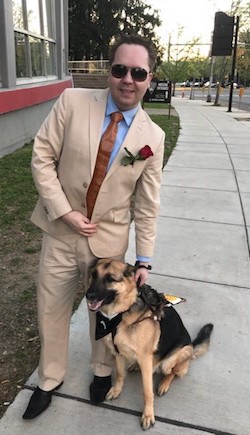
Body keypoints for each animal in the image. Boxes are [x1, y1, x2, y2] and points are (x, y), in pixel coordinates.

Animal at [86, 260, 213, 430]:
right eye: (94, 275)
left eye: (110, 279)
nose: (88, 295)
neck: (120, 315)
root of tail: (191, 347)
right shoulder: (117, 352)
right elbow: (119, 374)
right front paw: (116, 390)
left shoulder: (145, 360)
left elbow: (147, 391)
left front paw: (148, 415)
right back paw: (135, 365)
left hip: (170, 360)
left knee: (171, 372)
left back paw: (164, 384)